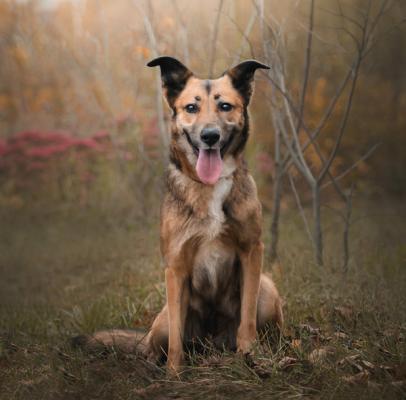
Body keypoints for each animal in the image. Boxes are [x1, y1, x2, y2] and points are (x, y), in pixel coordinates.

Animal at [73, 57, 282, 376]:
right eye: (191, 107)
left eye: (225, 106)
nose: (210, 136)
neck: (209, 187)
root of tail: (212, 344)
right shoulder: (175, 267)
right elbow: (175, 337)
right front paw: (174, 373)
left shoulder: (251, 251)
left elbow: (247, 318)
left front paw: (251, 356)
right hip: (161, 322)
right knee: (158, 342)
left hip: (268, 290)